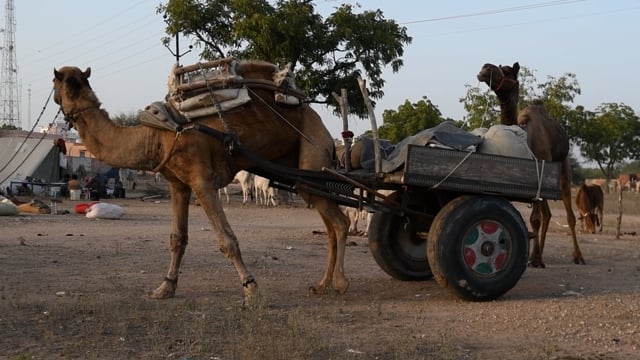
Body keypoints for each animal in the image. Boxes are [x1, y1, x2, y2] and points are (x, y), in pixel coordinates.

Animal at [53, 62, 352, 304]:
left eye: (69, 82)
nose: (67, 99)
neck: (156, 135)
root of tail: (324, 128)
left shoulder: (202, 181)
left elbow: (227, 240)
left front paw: (251, 290)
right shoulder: (178, 184)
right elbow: (177, 238)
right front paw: (165, 287)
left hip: (313, 149)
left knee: (340, 222)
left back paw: (340, 283)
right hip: (302, 176)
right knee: (329, 223)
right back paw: (321, 285)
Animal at [476, 61, 584, 268]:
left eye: (507, 71)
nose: (485, 68)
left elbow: (535, 219)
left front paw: (535, 259)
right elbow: (535, 219)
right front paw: (534, 258)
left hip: (563, 165)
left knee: (569, 215)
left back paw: (578, 257)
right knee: (547, 214)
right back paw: (540, 253)